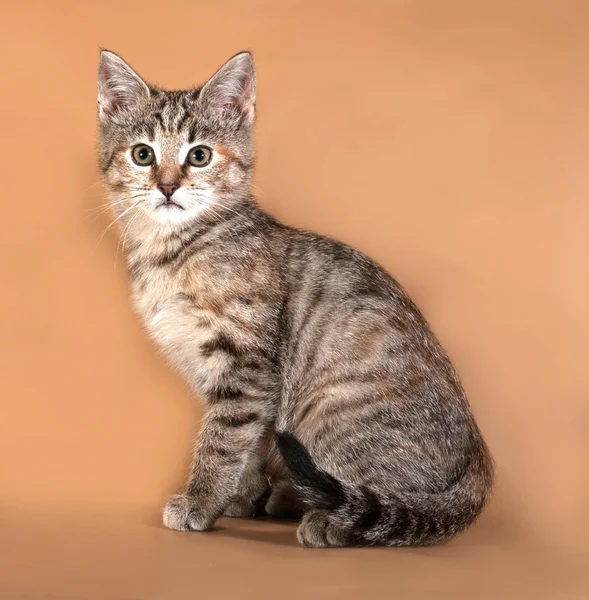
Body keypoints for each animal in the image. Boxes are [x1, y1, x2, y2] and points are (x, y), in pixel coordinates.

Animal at [96, 50, 492, 548]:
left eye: (199, 155)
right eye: (143, 154)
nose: (167, 186)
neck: (171, 250)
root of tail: (478, 474)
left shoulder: (247, 362)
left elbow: (222, 440)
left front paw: (201, 501)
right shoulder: (219, 374)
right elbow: (244, 441)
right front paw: (239, 499)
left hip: (333, 408)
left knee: (388, 506)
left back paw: (328, 520)